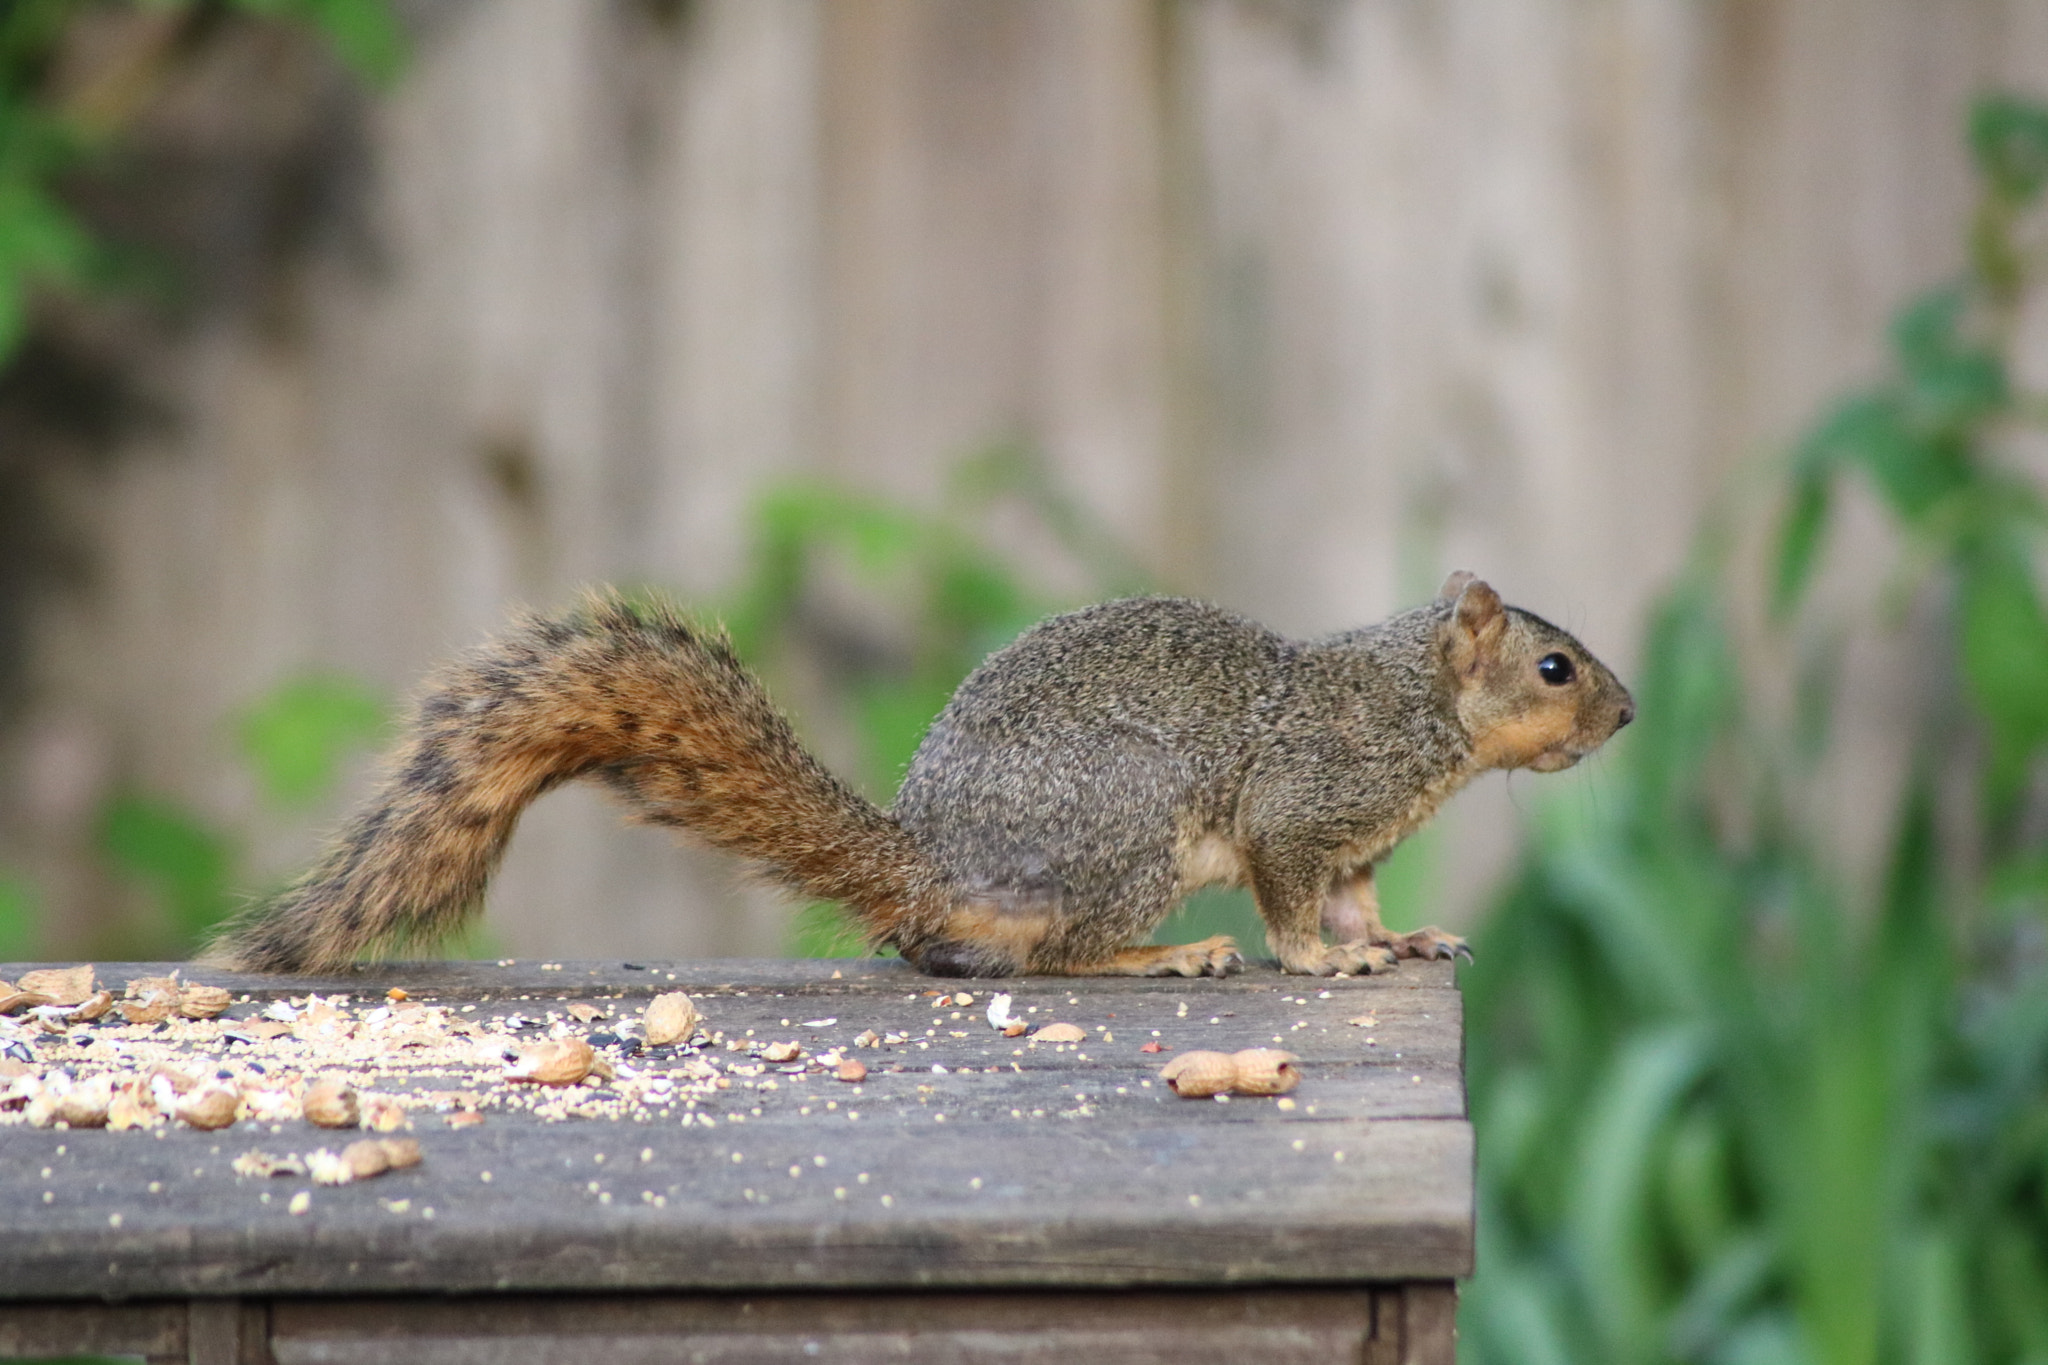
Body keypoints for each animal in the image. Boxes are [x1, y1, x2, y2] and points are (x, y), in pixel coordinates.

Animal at [203, 573, 1630, 978]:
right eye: (1553, 667)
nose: (1624, 715)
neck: (1417, 712)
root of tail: (930, 863)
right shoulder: (1303, 803)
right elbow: (1292, 899)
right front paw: (1319, 963)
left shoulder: (1361, 841)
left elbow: (1356, 897)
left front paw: (1396, 943)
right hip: (1126, 839)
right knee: (1059, 955)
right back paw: (1163, 957)